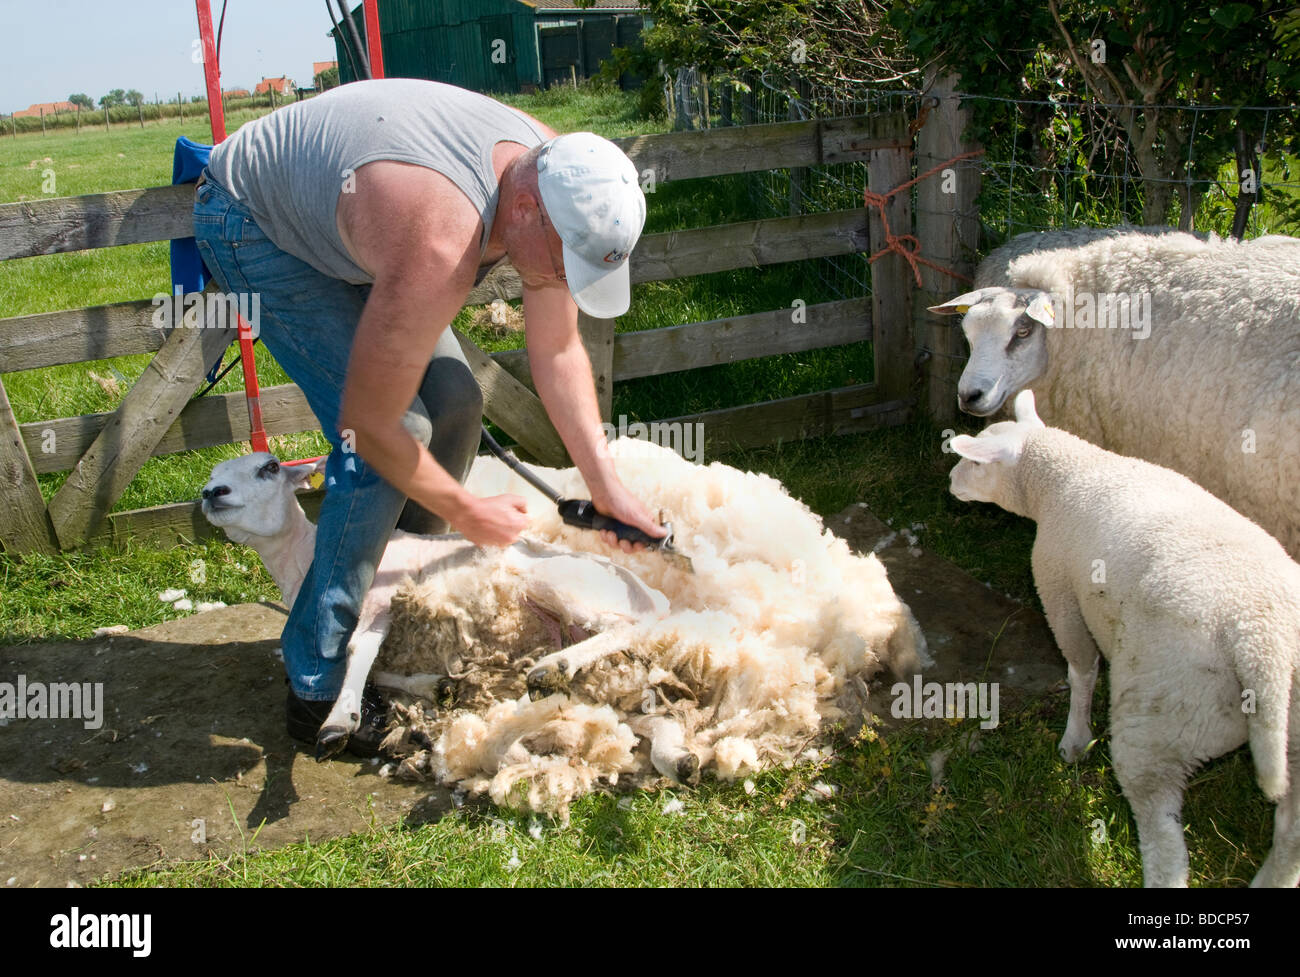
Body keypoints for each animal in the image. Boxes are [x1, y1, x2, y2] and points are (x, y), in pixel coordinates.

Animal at [948, 389, 1300, 888]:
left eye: (976, 462)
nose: (952, 482)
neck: (1070, 475)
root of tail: (1262, 641)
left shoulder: (1058, 588)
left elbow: (1082, 670)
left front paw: (1075, 741)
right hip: (1292, 736)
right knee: (1291, 835)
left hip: (1161, 716)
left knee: (1164, 845)